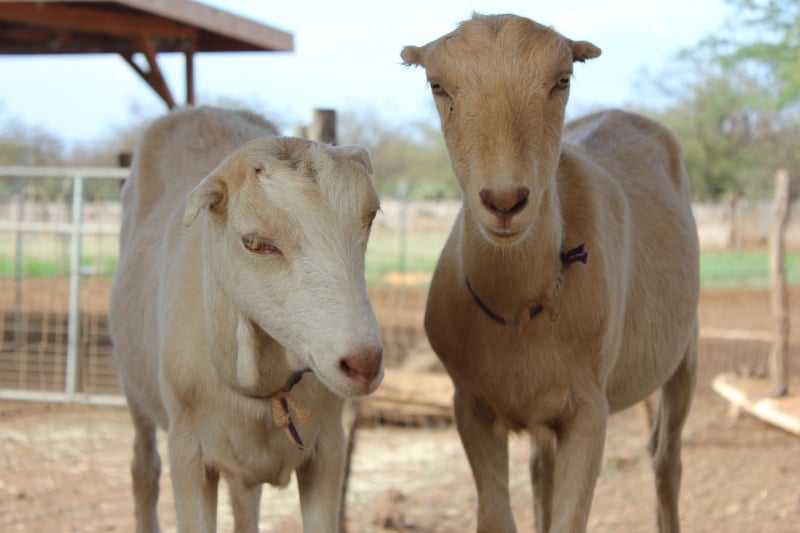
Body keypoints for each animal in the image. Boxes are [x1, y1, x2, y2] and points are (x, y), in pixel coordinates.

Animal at [110, 106, 384, 528]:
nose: (363, 363)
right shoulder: (188, 452)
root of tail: (198, 109)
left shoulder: (328, 449)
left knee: (244, 502)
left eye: (370, 218)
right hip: (133, 389)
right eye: (254, 242)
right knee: (144, 469)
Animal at [404, 13, 696, 532]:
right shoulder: (471, 405)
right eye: (437, 85)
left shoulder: (589, 408)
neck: (518, 304)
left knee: (666, 458)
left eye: (562, 79)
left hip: (686, 351)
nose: (504, 202)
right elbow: (496, 516)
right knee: (543, 471)